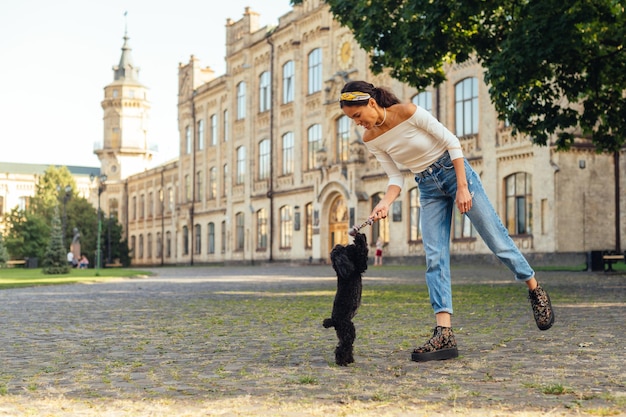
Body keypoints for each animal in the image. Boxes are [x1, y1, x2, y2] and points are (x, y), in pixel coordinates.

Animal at [322, 232, 366, 366]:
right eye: (342, 249)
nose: (348, 245)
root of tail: (333, 321)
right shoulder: (360, 265)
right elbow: (363, 253)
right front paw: (360, 238)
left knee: (346, 346)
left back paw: (349, 360)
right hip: (348, 330)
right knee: (342, 347)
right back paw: (342, 362)